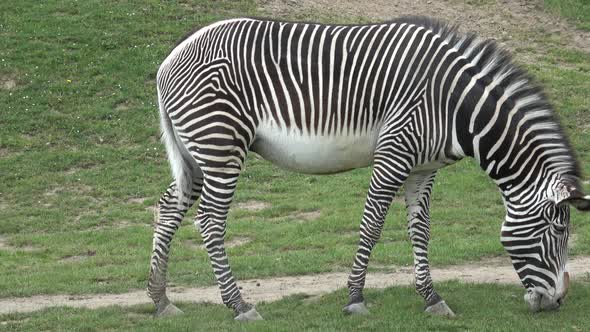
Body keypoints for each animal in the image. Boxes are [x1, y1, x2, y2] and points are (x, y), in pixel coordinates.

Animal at [146, 16, 588, 320]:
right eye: (558, 230)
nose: (556, 302)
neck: (454, 105)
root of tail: (170, 58)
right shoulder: (394, 153)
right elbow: (373, 224)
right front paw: (355, 298)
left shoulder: (424, 168)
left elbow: (421, 230)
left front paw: (432, 298)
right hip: (220, 145)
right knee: (209, 221)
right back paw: (238, 305)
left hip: (197, 155)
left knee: (169, 208)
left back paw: (161, 300)